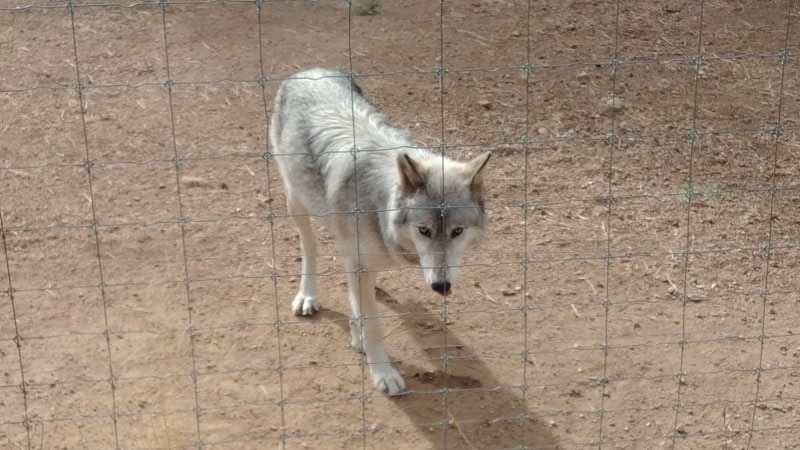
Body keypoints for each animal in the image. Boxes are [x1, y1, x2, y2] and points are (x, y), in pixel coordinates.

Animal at [270, 68, 490, 396]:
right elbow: (373, 324)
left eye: (457, 231)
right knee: (309, 247)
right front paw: (383, 373)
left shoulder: (360, 262)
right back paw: (307, 295)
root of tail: (308, 71)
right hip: (296, 201)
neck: (379, 203)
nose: (441, 286)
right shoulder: (357, 261)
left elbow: (361, 302)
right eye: (424, 230)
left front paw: (359, 333)